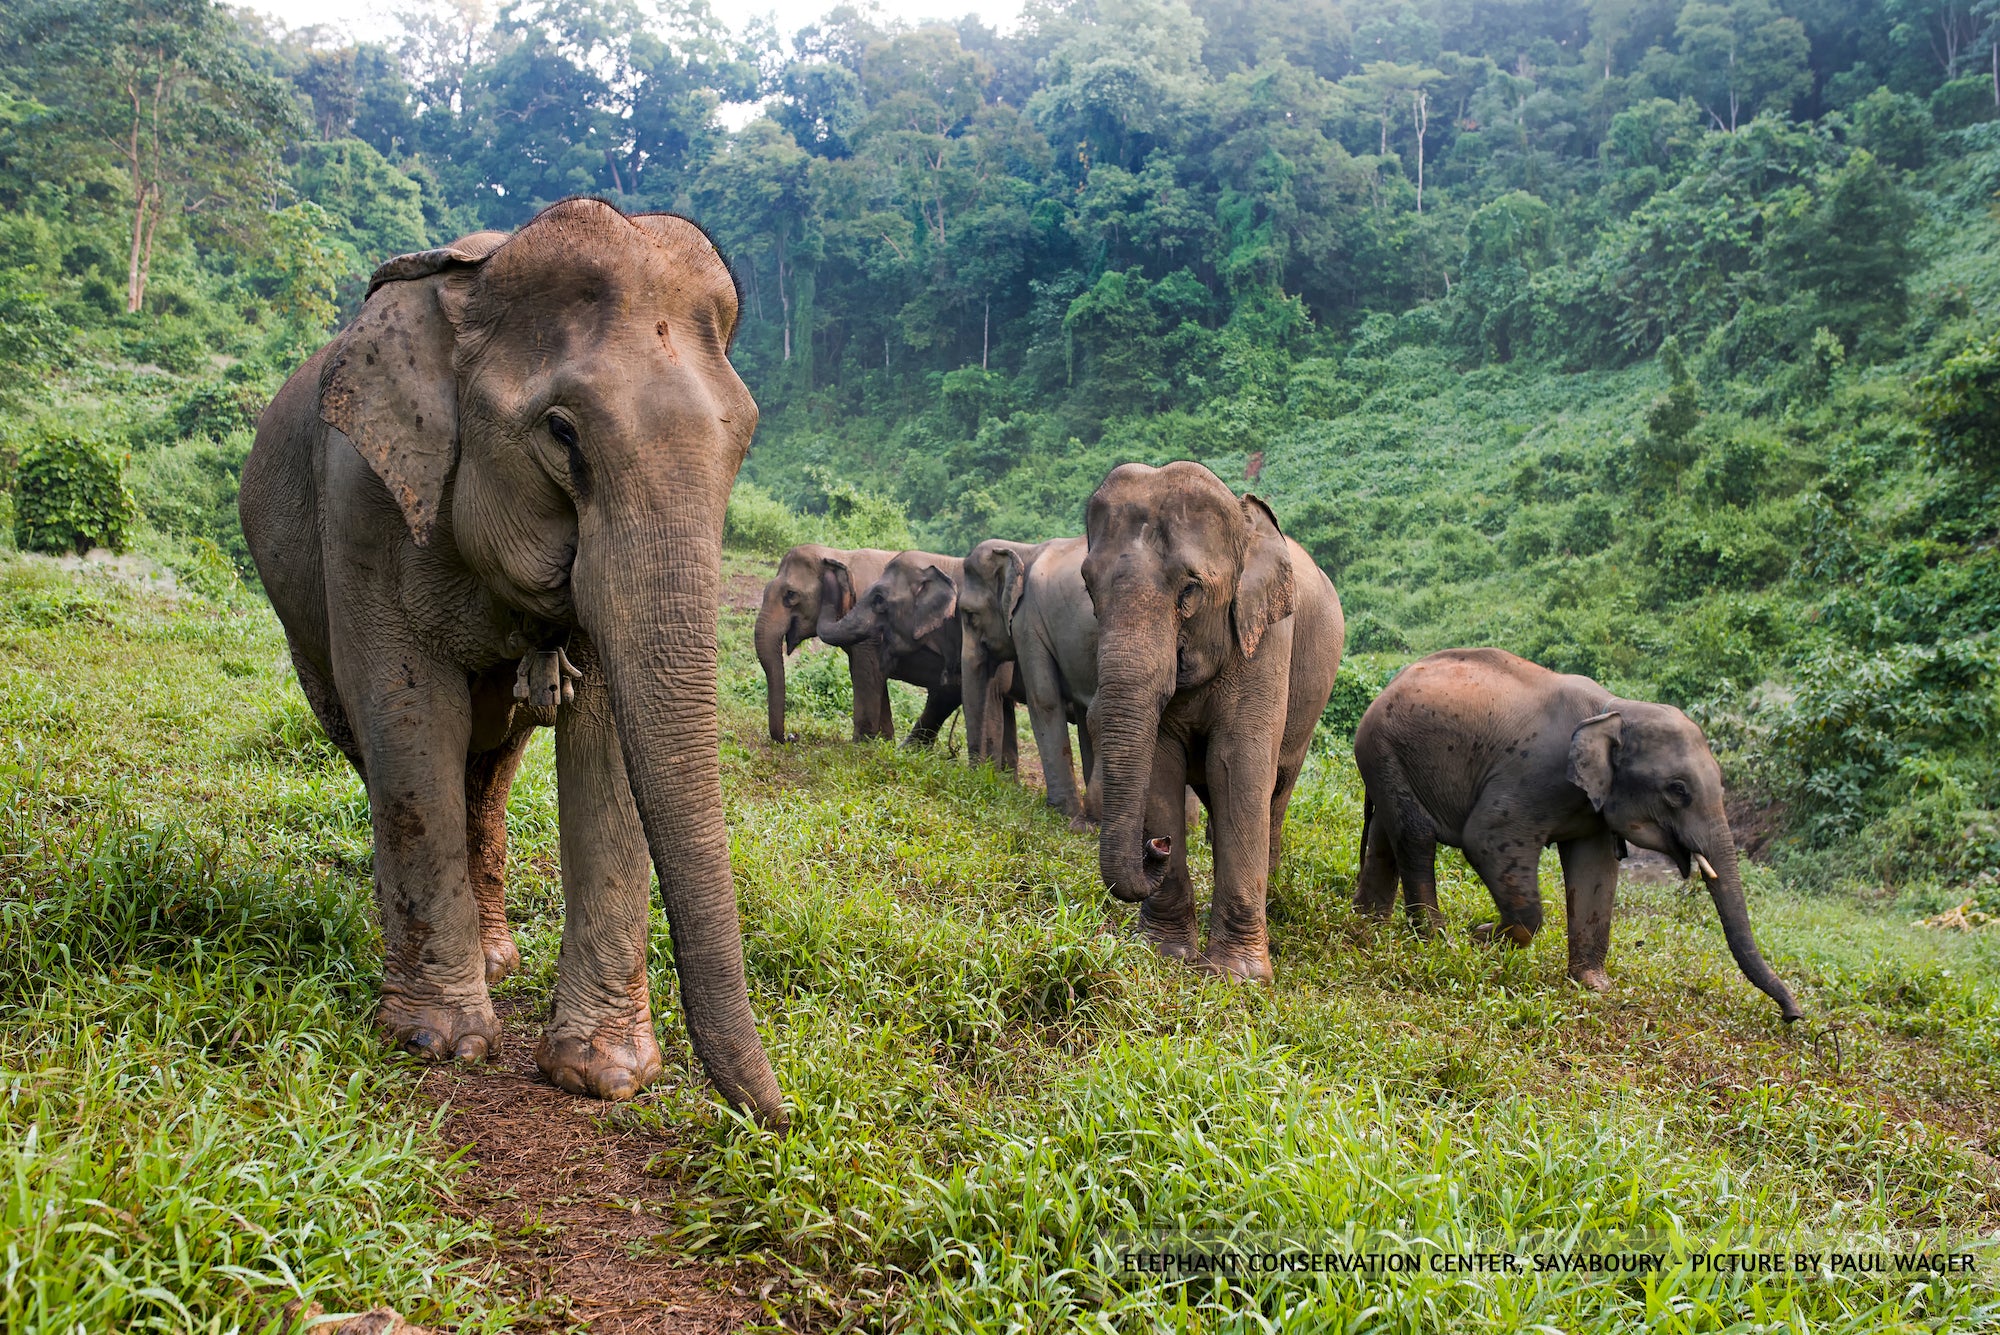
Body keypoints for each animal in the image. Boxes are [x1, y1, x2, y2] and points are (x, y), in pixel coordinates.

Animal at [238, 195, 784, 1127]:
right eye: (562, 433)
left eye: (743, 441)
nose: (785, 1117)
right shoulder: (363, 495)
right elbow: (408, 713)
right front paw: (439, 1043)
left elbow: (604, 736)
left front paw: (602, 1074)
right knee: (384, 744)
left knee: (491, 765)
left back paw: (497, 960)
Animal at [752, 547, 904, 747]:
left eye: (791, 594)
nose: (792, 736)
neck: (838, 555)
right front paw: (885, 743)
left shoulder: (870, 627)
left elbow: (865, 674)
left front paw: (860, 744)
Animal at [960, 531, 1104, 823]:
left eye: (969, 615)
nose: (977, 779)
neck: (1024, 550)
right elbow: (1085, 717)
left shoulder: (1028, 624)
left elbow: (1043, 699)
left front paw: (1067, 817)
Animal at [1080, 461, 1344, 979]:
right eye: (1087, 586)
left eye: (1190, 590)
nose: (1156, 845)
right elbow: (1161, 764)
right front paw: (1165, 955)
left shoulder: (1266, 641)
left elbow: (1238, 764)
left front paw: (1237, 976)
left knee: (1274, 795)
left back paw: (1272, 900)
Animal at [1352, 647, 1808, 1023]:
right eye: (1677, 790)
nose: (1794, 1016)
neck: (1615, 709)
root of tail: (1392, 681)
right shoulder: (1534, 774)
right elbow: (1485, 838)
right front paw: (1480, 938)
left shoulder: (1593, 808)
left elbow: (1596, 871)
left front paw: (1594, 986)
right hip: (1384, 745)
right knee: (1416, 837)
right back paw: (1434, 939)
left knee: (1387, 836)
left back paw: (1370, 922)